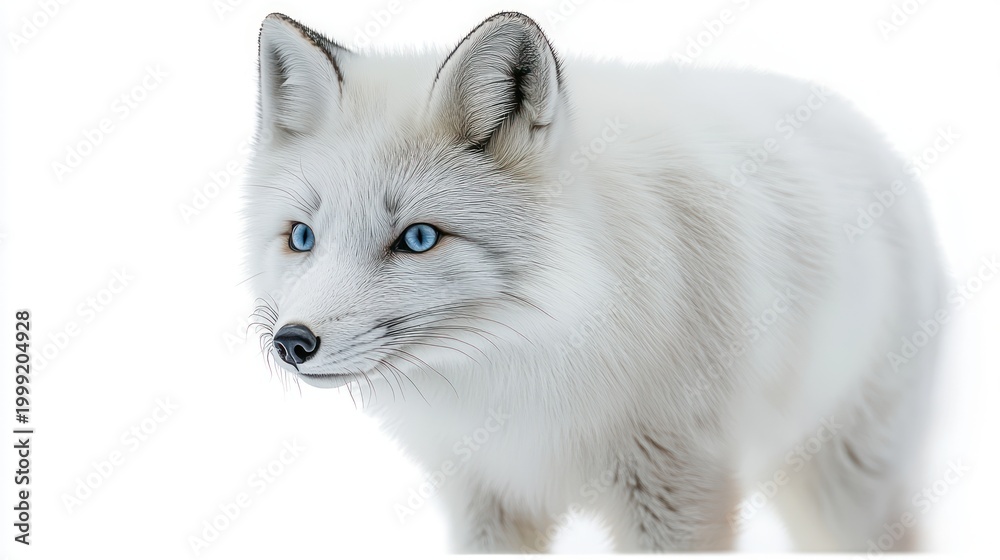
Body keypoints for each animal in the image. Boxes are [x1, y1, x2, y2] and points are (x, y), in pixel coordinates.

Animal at [243, 11, 946, 553]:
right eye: (302, 238)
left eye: (417, 239)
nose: (292, 343)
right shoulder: (487, 496)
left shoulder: (677, 490)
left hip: (851, 485)